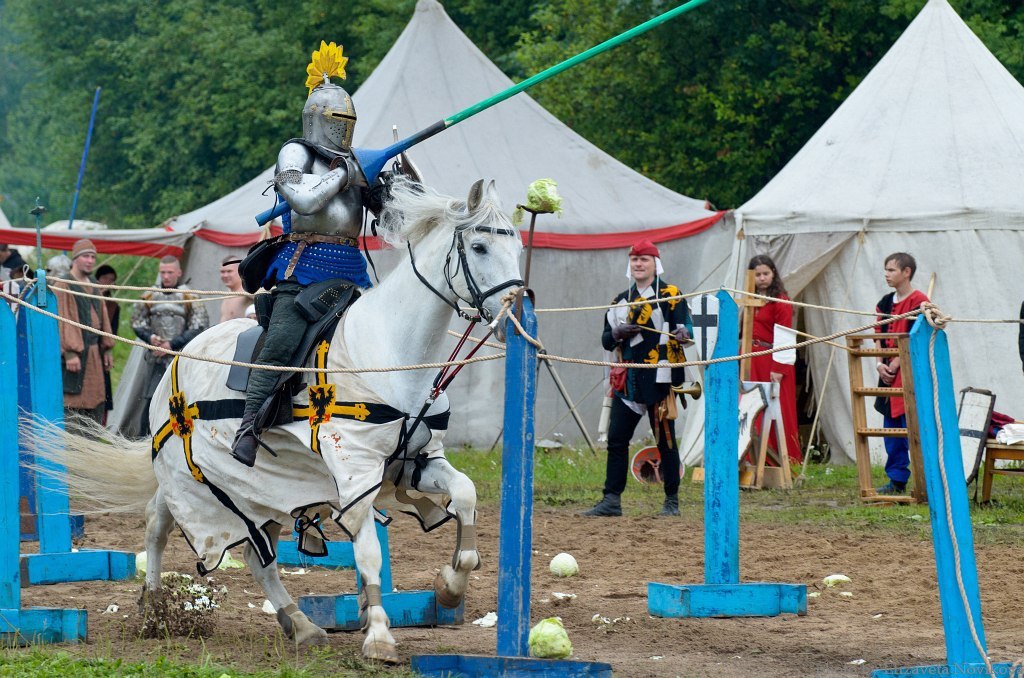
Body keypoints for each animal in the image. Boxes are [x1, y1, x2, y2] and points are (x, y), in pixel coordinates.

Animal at [34, 178, 520, 659]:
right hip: (191, 476)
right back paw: (155, 610)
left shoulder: (415, 462)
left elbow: (466, 493)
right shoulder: (357, 473)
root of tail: (181, 354)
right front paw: (380, 635)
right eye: (479, 246)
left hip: (261, 488)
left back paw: (299, 623)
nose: (513, 308)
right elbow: (368, 554)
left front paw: (450, 586)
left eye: (515, 243)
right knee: (159, 522)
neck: (387, 350)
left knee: (255, 554)